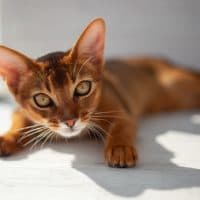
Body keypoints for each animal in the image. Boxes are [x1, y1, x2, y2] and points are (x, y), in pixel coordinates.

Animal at [0, 17, 200, 168]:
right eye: (42, 99)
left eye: (83, 88)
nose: (70, 121)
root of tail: (166, 60)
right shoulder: (19, 111)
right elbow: (19, 124)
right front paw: (6, 139)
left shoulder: (122, 112)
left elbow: (120, 127)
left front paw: (120, 149)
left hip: (179, 88)